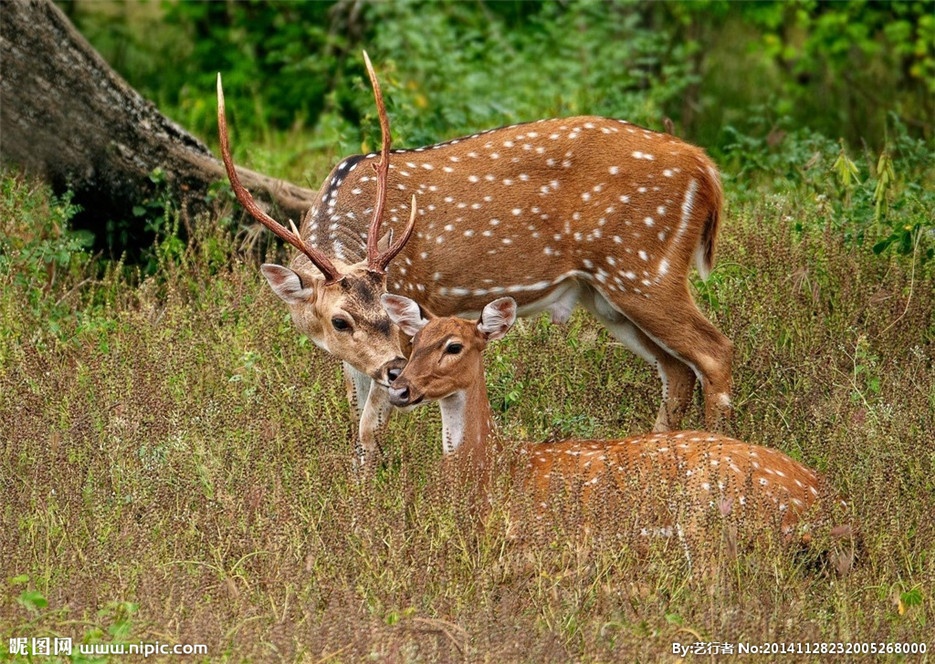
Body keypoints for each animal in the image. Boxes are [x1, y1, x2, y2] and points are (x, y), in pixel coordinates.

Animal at [218, 53, 732, 462]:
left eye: (391, 308)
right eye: (339, 321)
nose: (395, 369)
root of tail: (706, 169)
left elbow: (367, 429)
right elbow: (357, 424)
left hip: (644, 265)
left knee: (714, 352)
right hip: (606, 294)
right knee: (677, 370)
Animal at [382, 294, 856, 556]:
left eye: (454, 346)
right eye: (414, 340)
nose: (399, 388)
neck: (490, 465)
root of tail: (832, 506)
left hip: (707, 514)